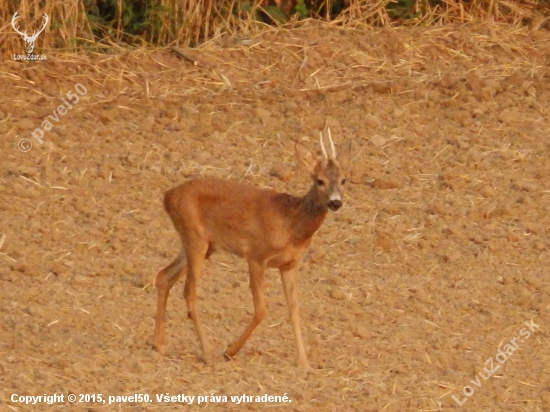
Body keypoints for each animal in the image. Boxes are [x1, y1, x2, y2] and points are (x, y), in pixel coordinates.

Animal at [155, 130, 354, 370]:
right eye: (319, 180)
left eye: (343, 180)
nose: (335, 203)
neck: (292, 224)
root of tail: (167, 196)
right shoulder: (257, 255)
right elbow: (261, 310)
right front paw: (230, 351)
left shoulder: (289, 265)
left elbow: (294, 311)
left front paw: (304, 363)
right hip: (195, 239)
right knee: (189, 291)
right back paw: (208, 354)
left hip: (203, 244)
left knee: (164, 275)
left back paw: (159, 344)